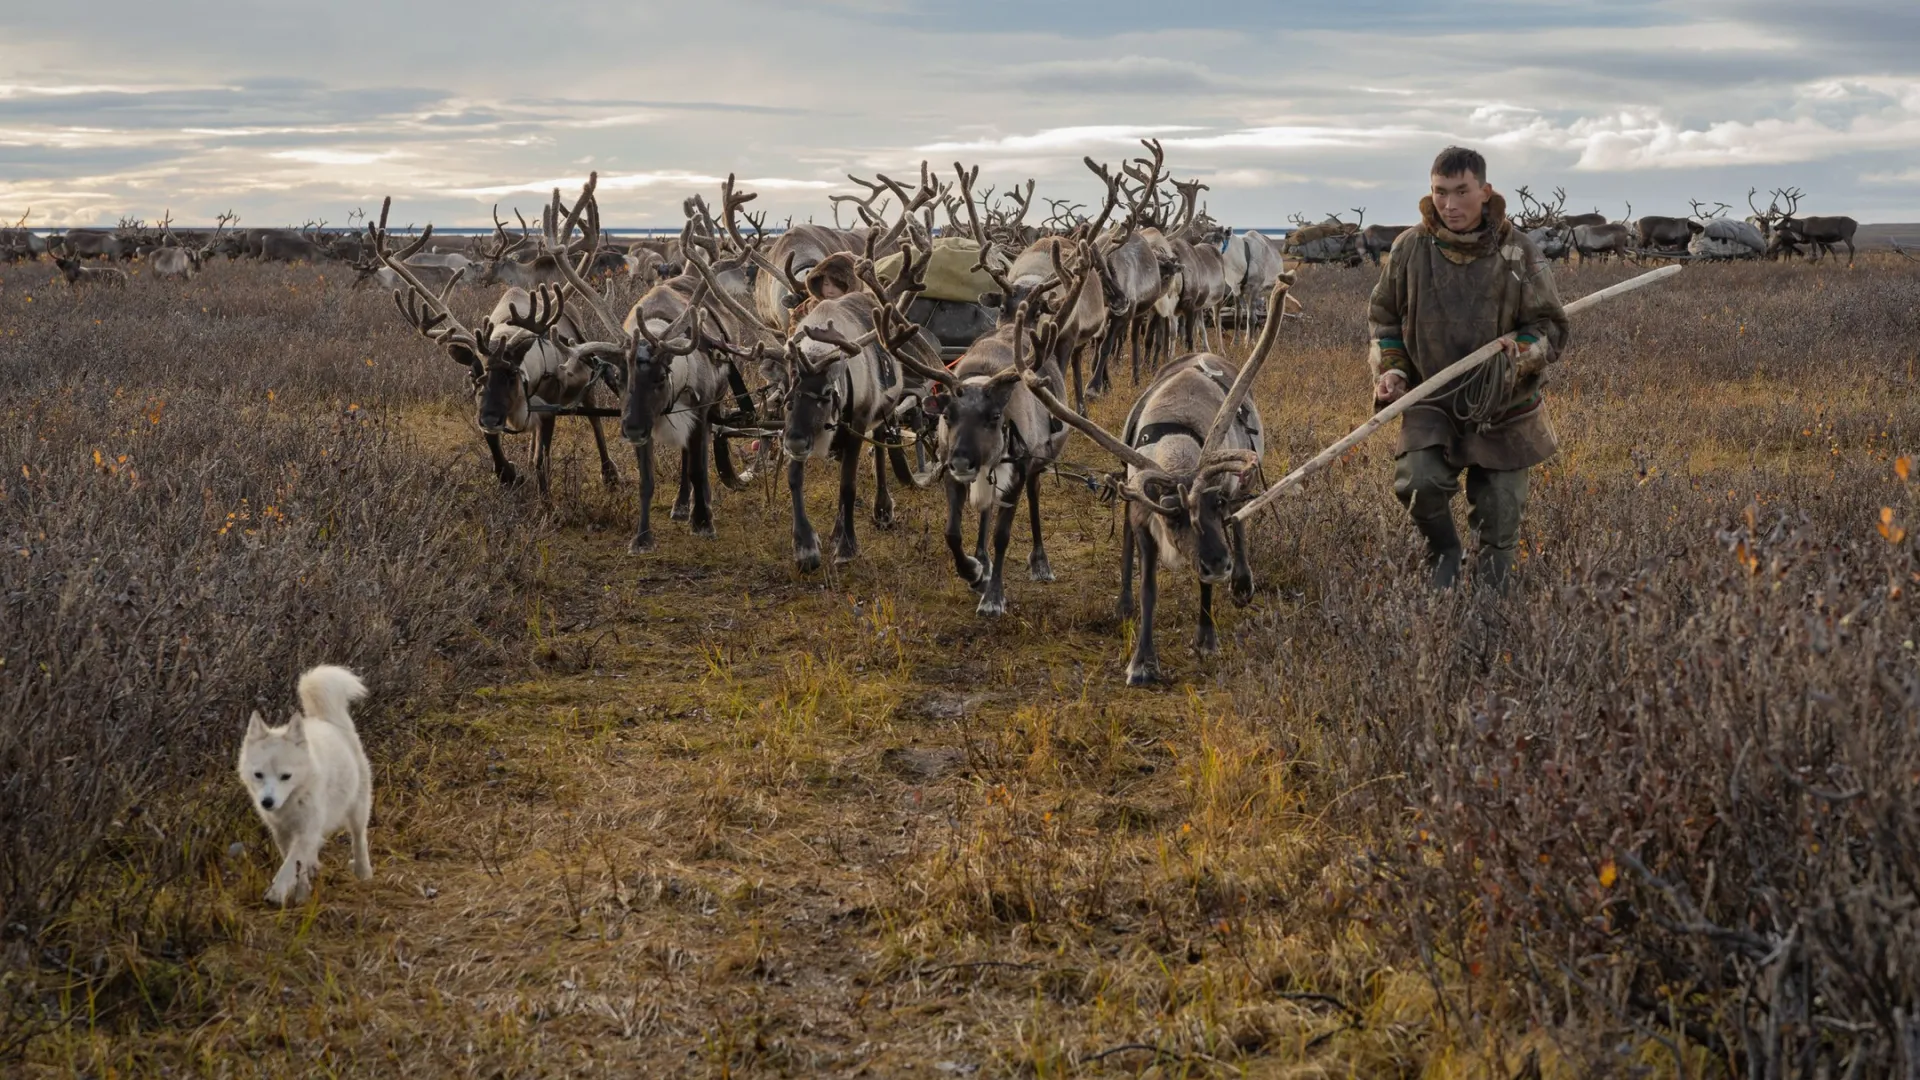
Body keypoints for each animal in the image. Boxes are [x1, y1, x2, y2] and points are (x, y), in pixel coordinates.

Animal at [238, 664, 372, 899]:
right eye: (258, 775)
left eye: (286, 776)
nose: (267, 802)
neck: (293, 799)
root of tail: (328, 721)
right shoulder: (282, 832)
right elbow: (293, 863)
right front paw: (300, 892)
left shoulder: (306, 830)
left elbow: (291, 864)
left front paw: (277, 894)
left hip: (358, 809)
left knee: (359, 839)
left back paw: (363, 872)